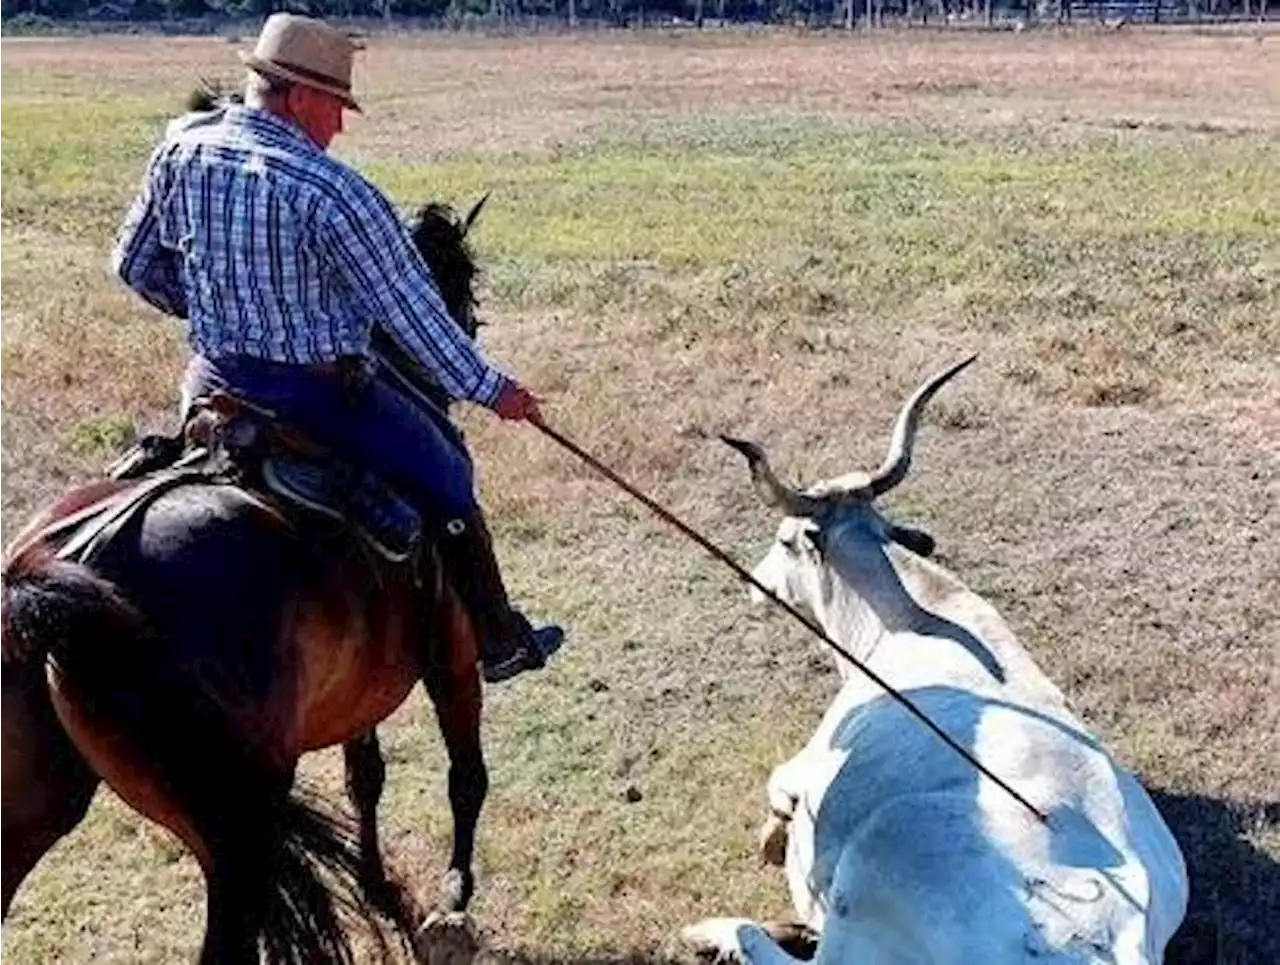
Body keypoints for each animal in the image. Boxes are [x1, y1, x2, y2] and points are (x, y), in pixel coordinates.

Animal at [0, 193, 496, 957]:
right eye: (463, 281)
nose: (470, 334)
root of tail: (63, 568)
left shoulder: (356, 691)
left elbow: (365, 779)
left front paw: (380, 886)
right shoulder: (455, 661)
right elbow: (465, 775)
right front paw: (454, 890)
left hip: (29, 808)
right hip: (232, 833)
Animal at [686, 358, 1182, 962]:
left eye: (784, 542)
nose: (755, 584)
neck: (904, 624)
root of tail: (1105, 937)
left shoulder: (804, 764)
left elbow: (776, 790)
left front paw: (771, 838)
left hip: (873, 865)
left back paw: (718, 930)